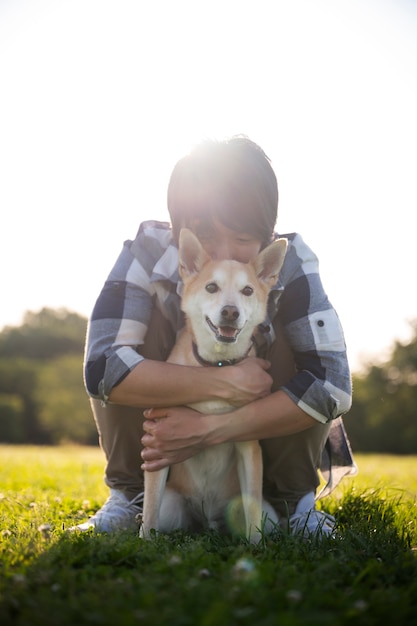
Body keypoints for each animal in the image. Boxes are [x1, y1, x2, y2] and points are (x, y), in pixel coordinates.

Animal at [140, 229, 286, 540]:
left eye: (247, 291)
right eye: (211, 287)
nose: (230, 312)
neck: (217, 369)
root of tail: (208, 522)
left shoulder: (248, 446)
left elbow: (252, 509)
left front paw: (256, 547)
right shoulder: (158, 446)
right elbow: (149, 511)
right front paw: (142, 542)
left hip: (264, 513)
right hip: (173, 506)